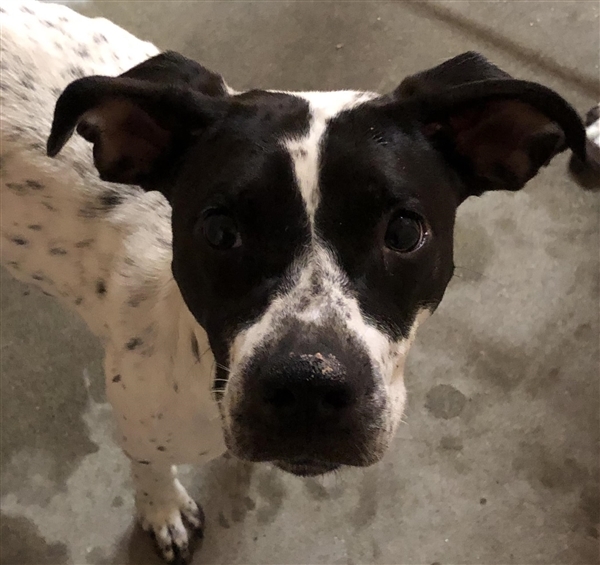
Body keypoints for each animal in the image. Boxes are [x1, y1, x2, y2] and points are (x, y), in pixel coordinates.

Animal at [1, 0, 592, 556]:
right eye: (219, 231)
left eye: (404, 232)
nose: (308, 386)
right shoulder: (141, 424)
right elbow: (150, 472)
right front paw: (163, 511)